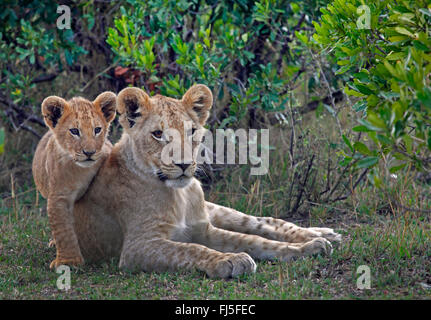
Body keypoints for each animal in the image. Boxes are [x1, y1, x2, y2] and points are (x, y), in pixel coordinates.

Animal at [32, 92, 116, 268]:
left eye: (97, 130)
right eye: (74, 131)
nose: (89, 152)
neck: (81, 170)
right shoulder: (59, 197)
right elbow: (63, 230)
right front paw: (69, 261)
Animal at [71, 85, 340, 278]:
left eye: (191, 131)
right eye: (158, 134)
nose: (183, 164)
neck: (178, 195)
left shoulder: (204, 228)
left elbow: (252, 240)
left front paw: (305, 249)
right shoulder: (136, 248)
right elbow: (190, 249)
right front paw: (230, 260)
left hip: (217, 210)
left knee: (264, 222)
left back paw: (321, 234)